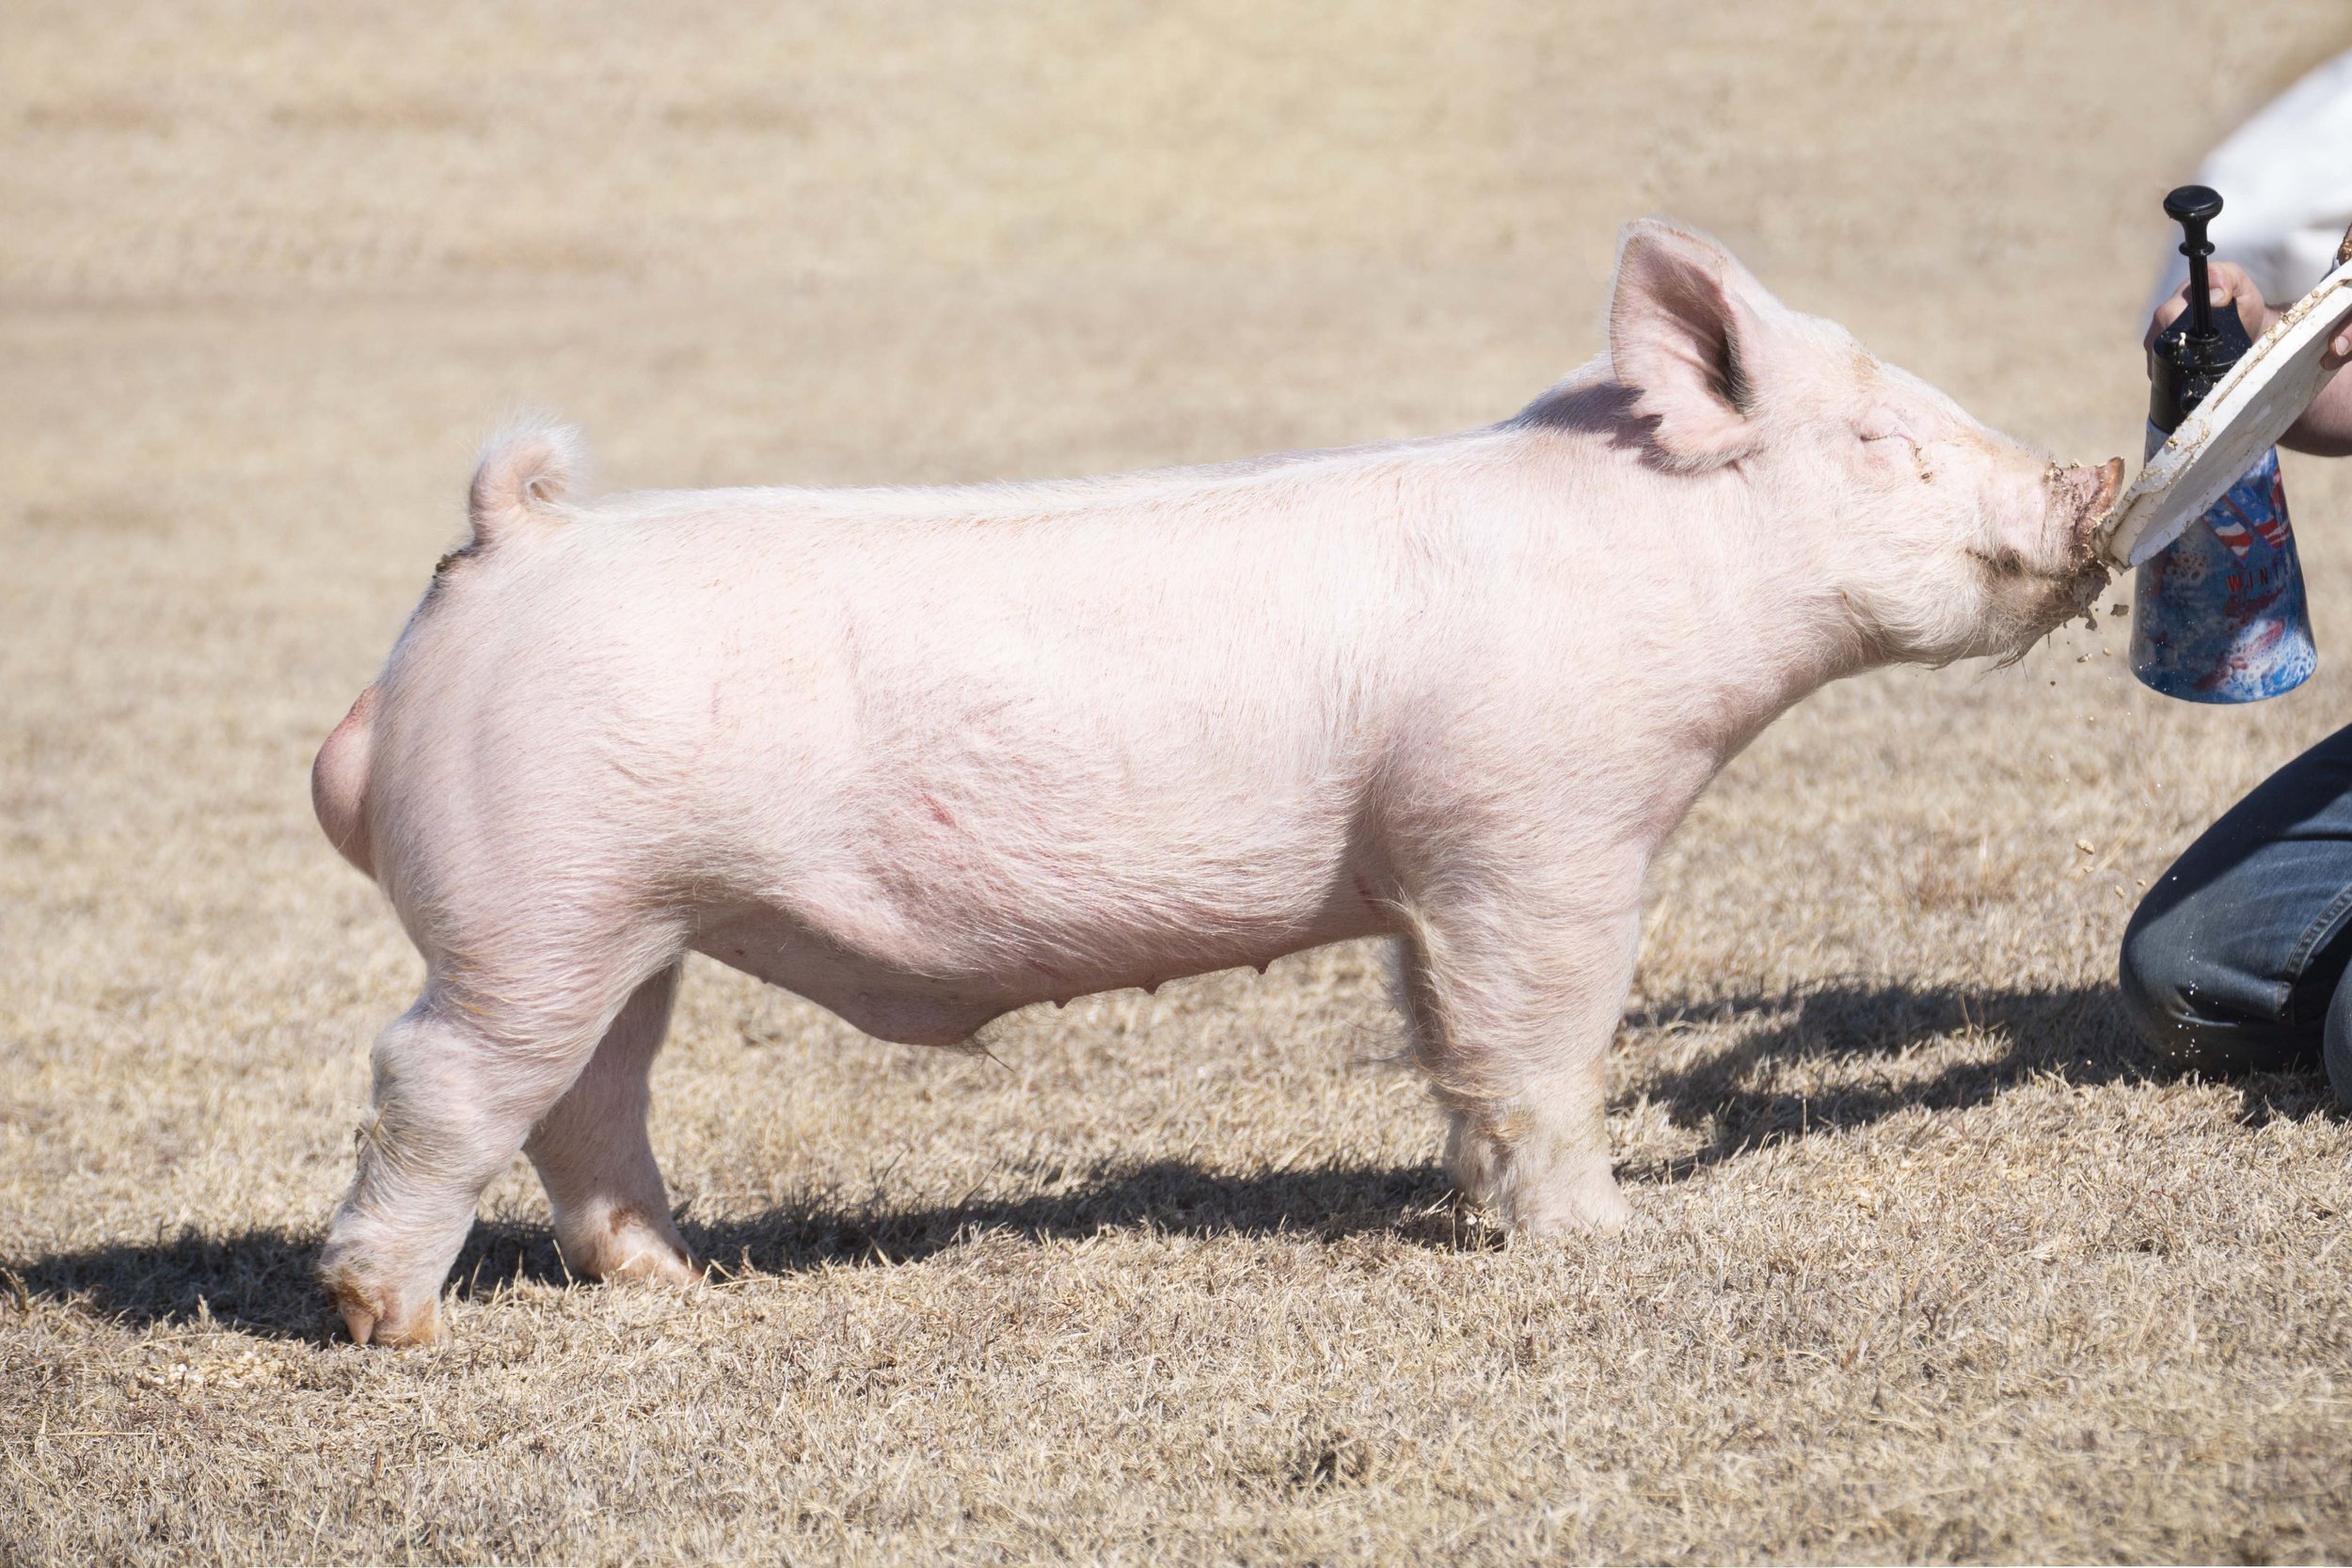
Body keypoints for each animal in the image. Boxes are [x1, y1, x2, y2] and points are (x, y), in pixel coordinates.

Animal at [311, 220, 2121, 1345]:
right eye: (1881, 441)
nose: (2090, 475)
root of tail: (511, 542)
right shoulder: (1533, 828)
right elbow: (1540, 1039)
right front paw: (1606, 1236)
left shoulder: (1429, 865)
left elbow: (1447, 1041)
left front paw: (1483, 1210)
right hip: (531, 901)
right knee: (441, 1076)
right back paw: (388, 1317)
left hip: (625, 919)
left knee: (590, 1095)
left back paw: (676, 1285)